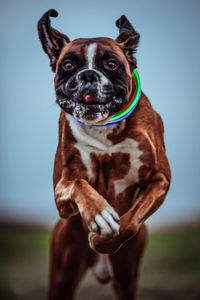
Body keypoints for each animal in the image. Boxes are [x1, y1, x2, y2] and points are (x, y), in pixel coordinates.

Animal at [37, 9, 170, 300]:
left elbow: (129, 223)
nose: (88, 75)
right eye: (68, 65)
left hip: (127, 276)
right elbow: (79, 183)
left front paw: (101, 239)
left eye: (111, 64)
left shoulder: (159, 180)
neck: (105, 128)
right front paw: (99, 215)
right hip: (62, 274)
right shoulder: (61, 188)